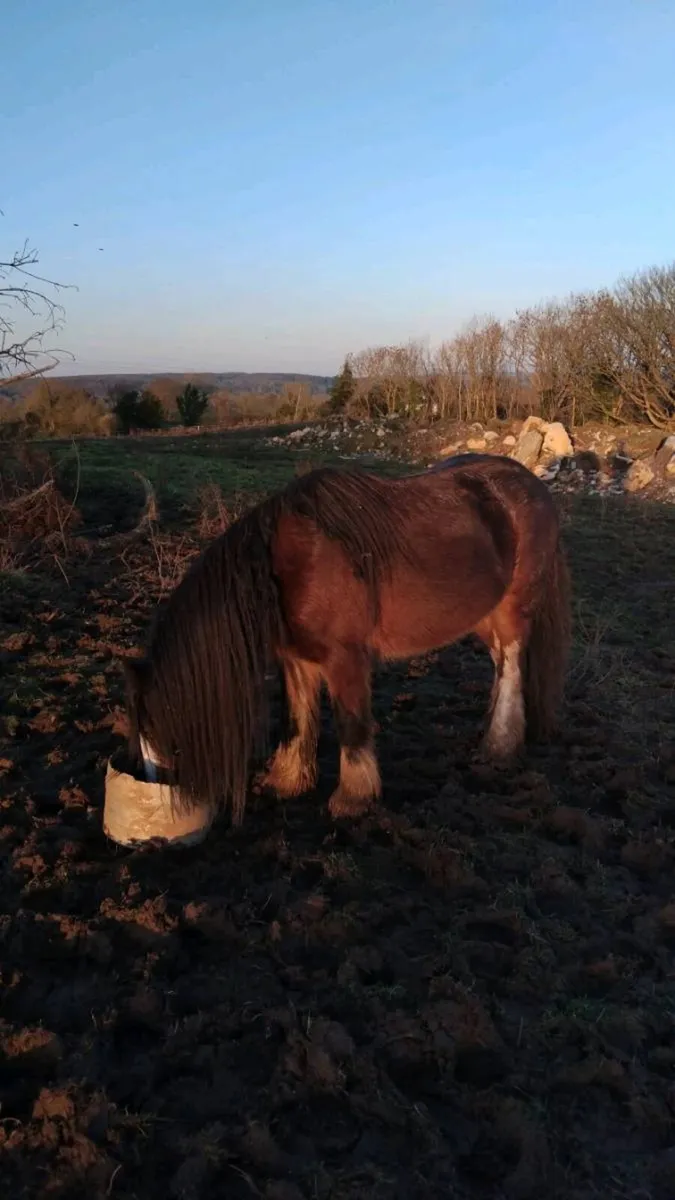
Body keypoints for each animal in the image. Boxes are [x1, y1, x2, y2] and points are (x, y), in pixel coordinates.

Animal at [124, 453, 571, 825]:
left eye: (159, 736)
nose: (152, 790)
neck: (290, 565)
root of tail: (531, 483)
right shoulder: (295, 659)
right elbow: (296, 720)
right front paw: (287, 781)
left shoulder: (345, 660)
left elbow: (351, 725)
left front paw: (353, 799)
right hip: (481, 614)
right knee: (501, 665)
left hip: (512, 610)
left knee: (512, 665)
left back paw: (499, 747)